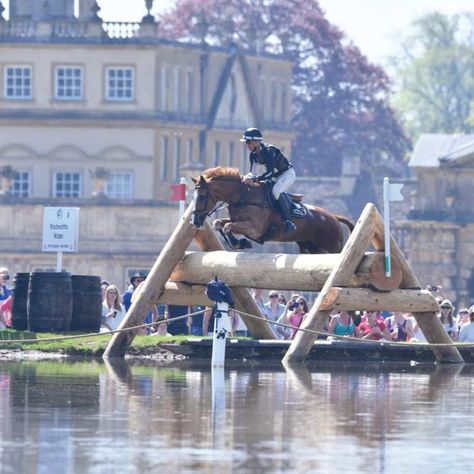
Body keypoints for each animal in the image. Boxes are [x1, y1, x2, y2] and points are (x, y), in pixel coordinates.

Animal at [191, 168, 354, 254]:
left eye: (201, 196)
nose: (195, 221)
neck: (243, 195)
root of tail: (333, 217)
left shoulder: (255, 228)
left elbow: (227, 226)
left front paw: (240, 243)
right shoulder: (238, 221)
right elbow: (219, 223)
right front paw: (239, 243)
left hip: (331, 248)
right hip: (309, 248)